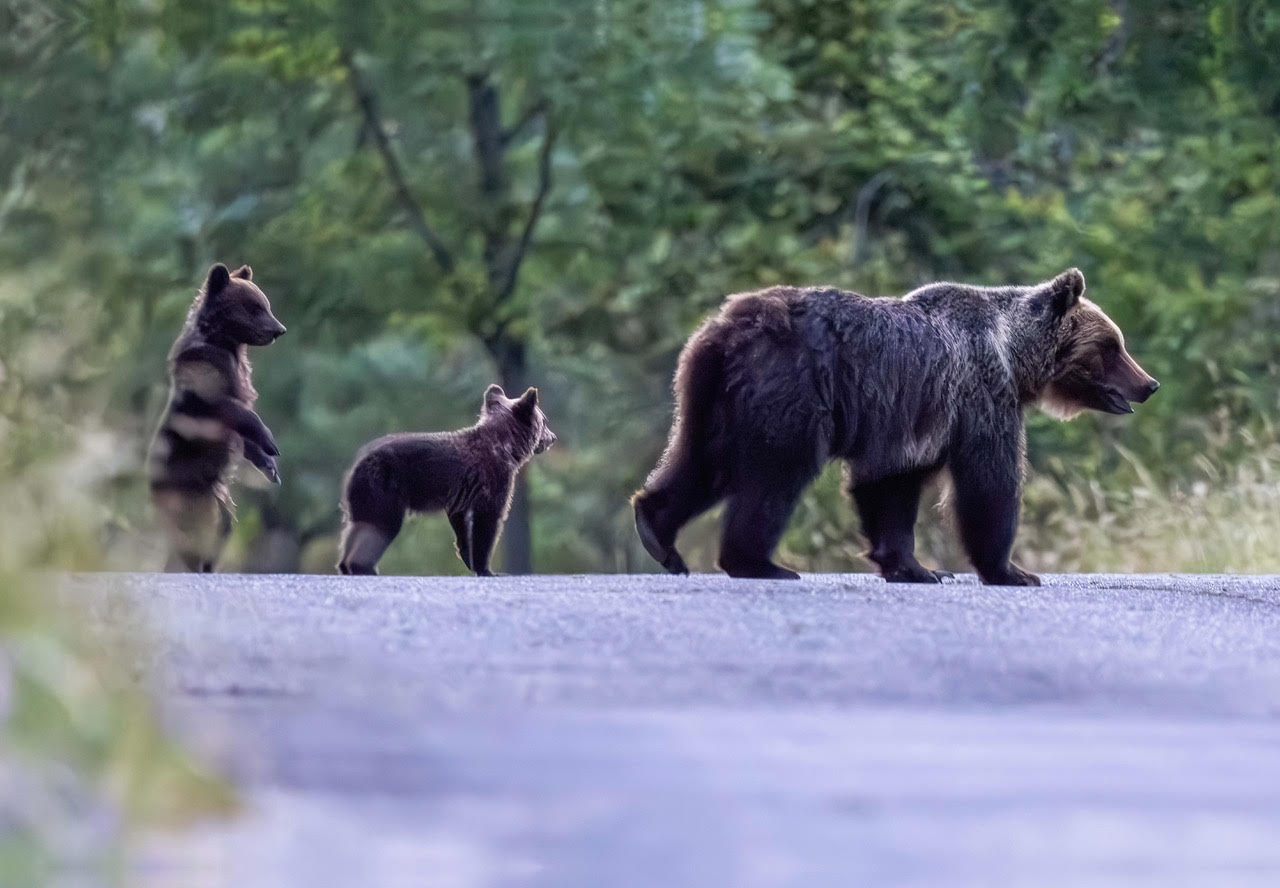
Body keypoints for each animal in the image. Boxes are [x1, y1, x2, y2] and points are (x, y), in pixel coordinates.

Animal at [632, 271, 1162, 591]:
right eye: (1112, 345)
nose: (1149, 384)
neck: (1015, 357)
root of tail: (729, 327)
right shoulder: (980, 395)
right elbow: (988, 482)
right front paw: (1012, 570)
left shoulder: (915, 422)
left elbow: (890, 487)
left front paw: (916, 567)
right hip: (790, 389)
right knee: (774, 475)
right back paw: (762, 563)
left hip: (711, 396)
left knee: (702, 462)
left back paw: (658, 534)